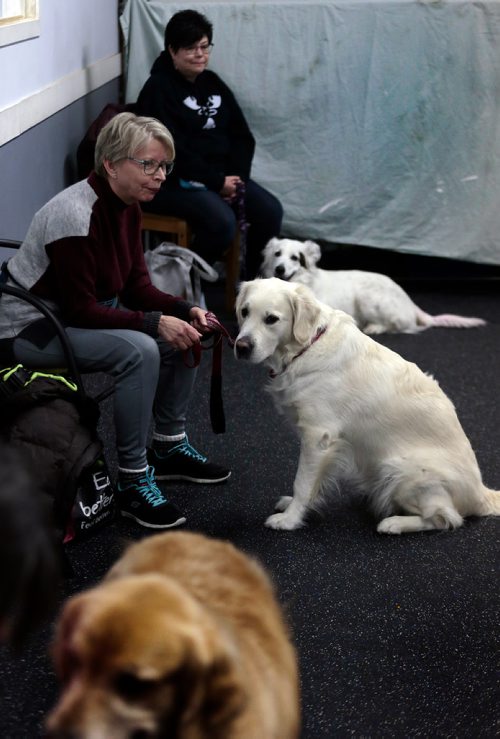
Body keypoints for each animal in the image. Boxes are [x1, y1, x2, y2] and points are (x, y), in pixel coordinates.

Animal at [234, 280, 500, 536]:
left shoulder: (318, 436)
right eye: (244, 312)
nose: (241, 346)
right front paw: (294, 506)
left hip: (400, 469)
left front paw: (289, 519)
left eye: (271, 319)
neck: (306, 347)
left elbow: (302, 482)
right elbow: (312, 484)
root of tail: (481, 494)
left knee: (446, 518)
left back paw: (394, 524)